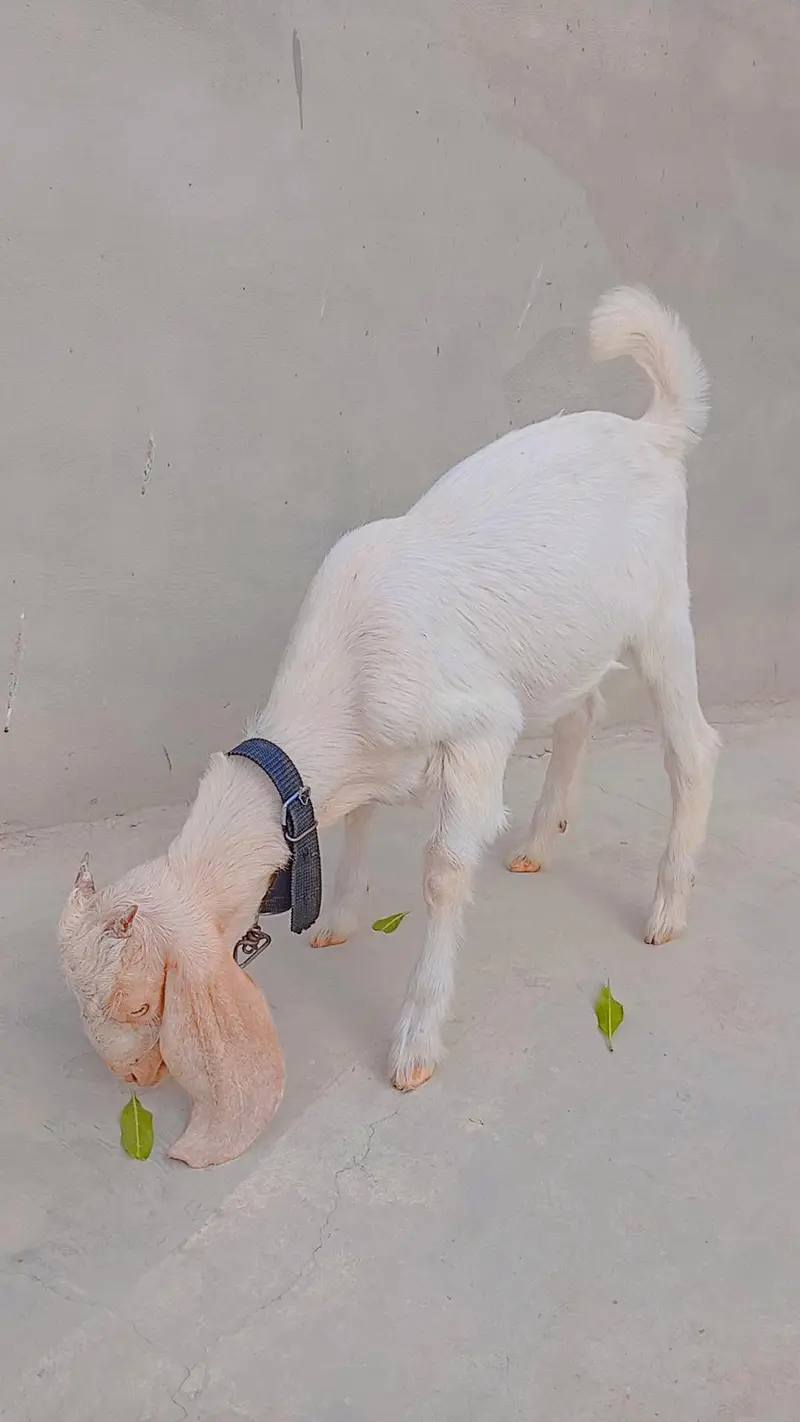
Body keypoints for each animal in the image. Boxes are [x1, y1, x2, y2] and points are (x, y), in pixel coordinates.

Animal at [59, 286, 719, 1167]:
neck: (344, 681)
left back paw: (666, 909)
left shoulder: (479, 727)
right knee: (584, 709)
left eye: (138, 1005)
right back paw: (540, 841)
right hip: (568, 644)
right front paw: (339, 920)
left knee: (694, 749)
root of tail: (654, 429)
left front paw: (414, 1042)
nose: (133, 1081)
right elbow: (360, 823)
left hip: (661, 618)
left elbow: (442, 873)